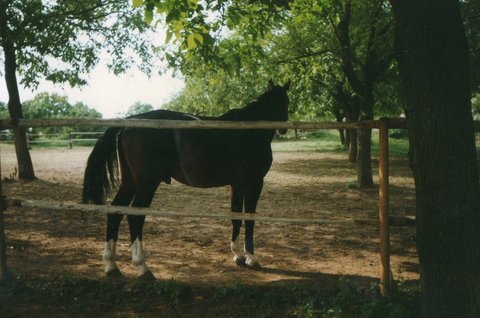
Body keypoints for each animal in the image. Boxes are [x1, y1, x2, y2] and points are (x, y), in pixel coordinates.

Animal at [81, 81, 288, 278]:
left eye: (285, 101)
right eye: (279, 103)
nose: (284, 129)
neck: (249, 131)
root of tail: (129, 123)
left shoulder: (237, 185)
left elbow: (236, 217)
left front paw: (238, 255)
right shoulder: (254, 183)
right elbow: (250, 219)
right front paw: (252, 258)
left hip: (130, 182)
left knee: (115, 212)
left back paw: (111, 265)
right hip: (147, 184)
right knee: (135, 217)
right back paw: (142, 268)